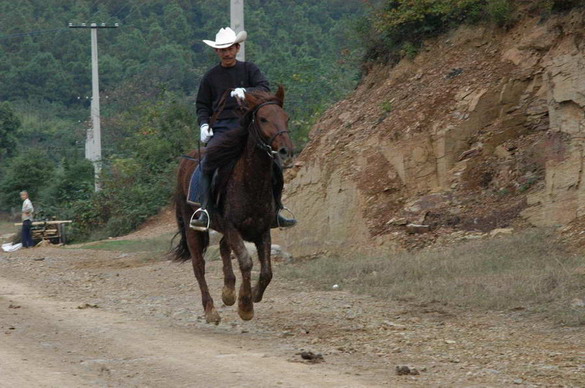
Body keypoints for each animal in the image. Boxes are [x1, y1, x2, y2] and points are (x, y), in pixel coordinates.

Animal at [172, 86, 292, 322]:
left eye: (286, 117)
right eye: (263, 119)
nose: (285, 151)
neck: (250, 182)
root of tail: (185, 161)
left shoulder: (262, 229)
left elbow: (267, 271)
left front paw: (253, 295)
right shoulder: (232, 227)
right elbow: (246, 261)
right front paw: (245, 305)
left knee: (222, 247)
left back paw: (228, 291)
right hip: (193, 229)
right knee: (198, 266)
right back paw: (210, 310)